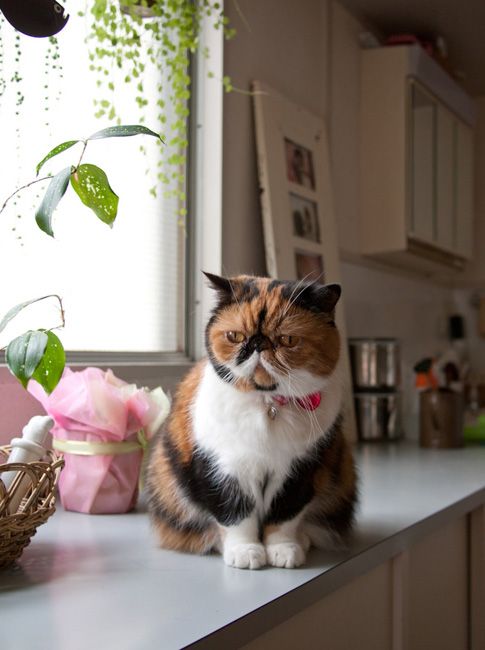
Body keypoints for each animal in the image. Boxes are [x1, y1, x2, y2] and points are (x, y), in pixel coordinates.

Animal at [145, 272, 356, 568]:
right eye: (234, 335)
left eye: (288, 339)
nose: (257, 344)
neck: (267, 406)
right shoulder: (223, 466)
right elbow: (235, 514)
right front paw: (245, 552)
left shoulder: (301, 469)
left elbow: (285, 515)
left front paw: (284, 550)